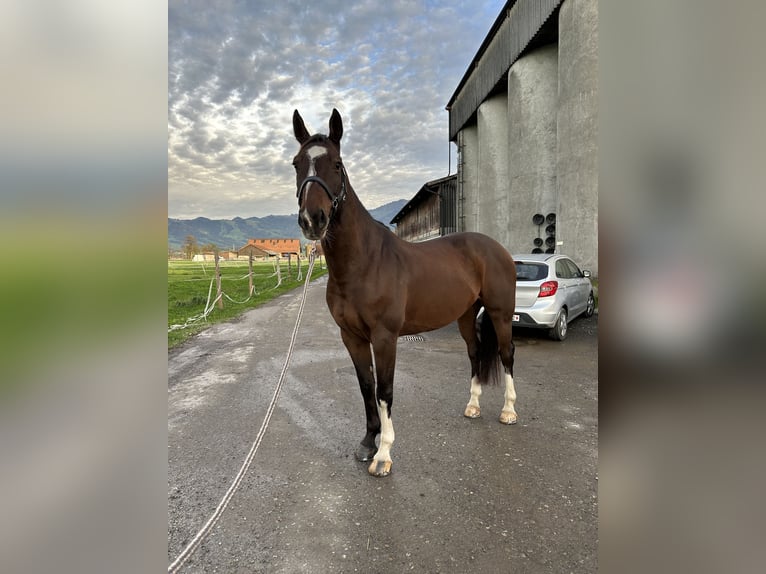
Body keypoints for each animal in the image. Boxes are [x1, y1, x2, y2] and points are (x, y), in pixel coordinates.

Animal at [292, 108, 520, 476]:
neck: (363, 262)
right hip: (466, 314)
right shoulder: (351, 336)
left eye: (337, 164)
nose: (313, 220)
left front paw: (383, 454)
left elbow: (385, 391)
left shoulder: (385, 337)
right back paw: (472, 406)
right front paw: (367, 443)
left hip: (500, 313)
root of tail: (495, 248)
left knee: (506, 353)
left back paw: (509, 411)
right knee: (474, 353)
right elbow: (366, 387)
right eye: (297, 163)